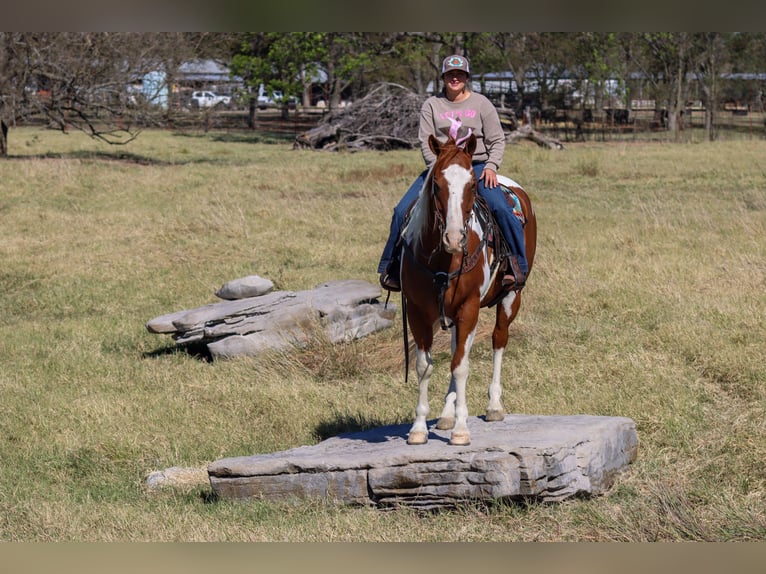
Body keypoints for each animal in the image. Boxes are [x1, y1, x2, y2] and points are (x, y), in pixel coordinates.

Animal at [402, 136, 540, 450]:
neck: (444, 260)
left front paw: (461, 430)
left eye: (473, 186)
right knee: (456, 348)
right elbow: (425, 366)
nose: (454, 238)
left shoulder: (469, 306)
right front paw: (419, 428)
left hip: (510, 298)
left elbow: (461, 366)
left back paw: (494, 406)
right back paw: (446, 414)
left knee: (499, 340)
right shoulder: (417, 310)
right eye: (436, 184)